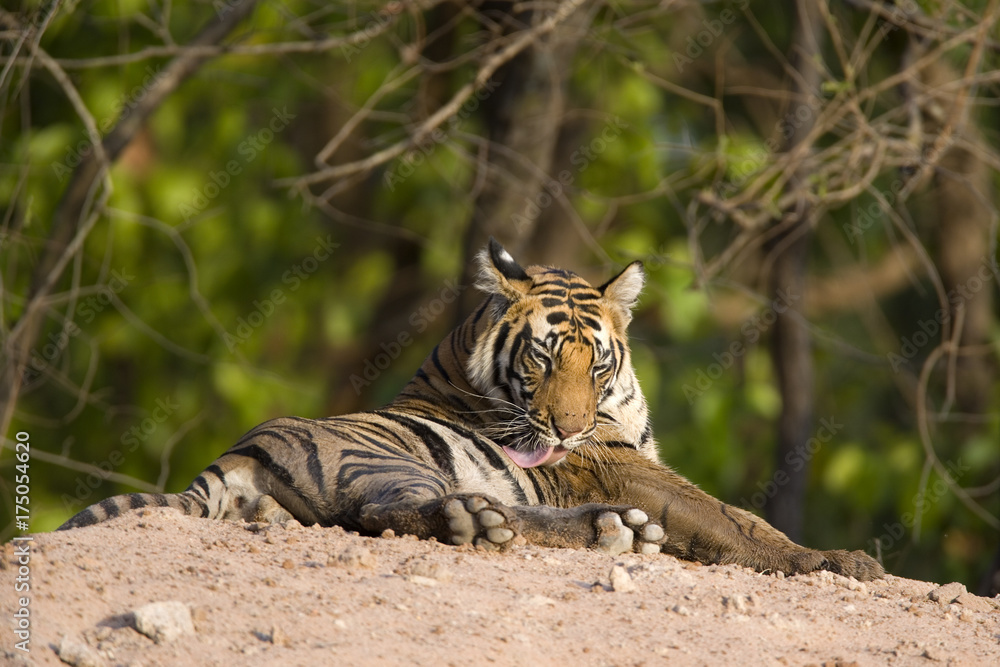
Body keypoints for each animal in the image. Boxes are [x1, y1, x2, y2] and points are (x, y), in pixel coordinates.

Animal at [60, 240, 884, 580]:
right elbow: (734, 520)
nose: (567, 427)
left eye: (598, 361)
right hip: (388, 462)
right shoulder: (622, 470)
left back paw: (618, 532)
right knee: (400, 512)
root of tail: (232, 453)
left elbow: (730, 520)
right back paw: (526, 525)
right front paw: (835, 561)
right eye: (544, 358)